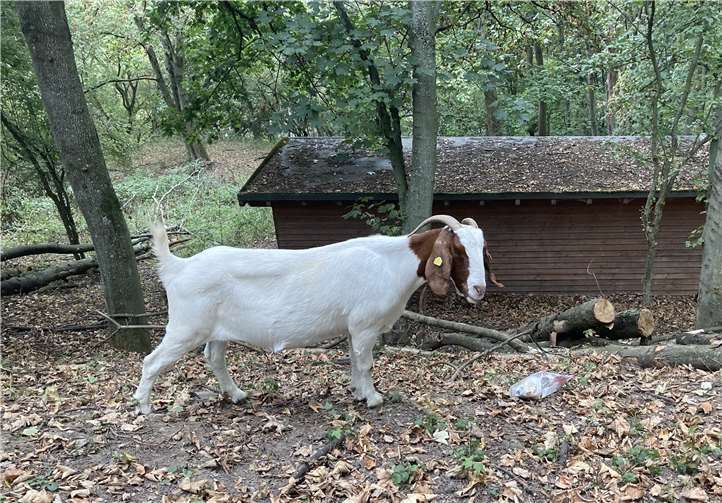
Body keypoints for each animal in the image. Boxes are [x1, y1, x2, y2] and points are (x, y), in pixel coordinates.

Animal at [133, 215, 491, 414]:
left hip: (217, 331)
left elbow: (353, 360)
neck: (391, 263)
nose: (478, 289)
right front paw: (374, 398)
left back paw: (237, 395)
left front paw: (357, 392)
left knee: (214, 358)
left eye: (483, 248)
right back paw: (145, 407)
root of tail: (179, 267)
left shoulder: (351, 328)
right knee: (151, 361)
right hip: (185, 327)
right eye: (458, 251)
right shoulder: (364, 326)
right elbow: (366, 362)